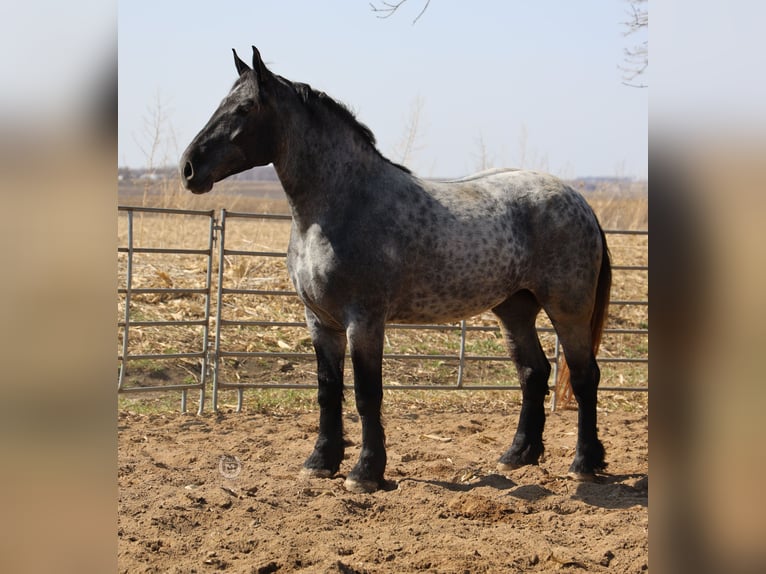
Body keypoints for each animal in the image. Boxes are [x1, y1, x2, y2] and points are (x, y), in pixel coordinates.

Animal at [180, 46, 612, 496]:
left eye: (245, 107)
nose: (189, 168)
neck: (341, 205)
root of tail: (579, 200)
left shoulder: (364, 321)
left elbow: (367, 395)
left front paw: (365, 472)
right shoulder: (320, 322)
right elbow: (328, 391)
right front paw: (320, 462)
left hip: (568, 309)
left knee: (584, 377)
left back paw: (583, 463)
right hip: (514, 309)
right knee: (534, 372)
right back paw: (518, 455)